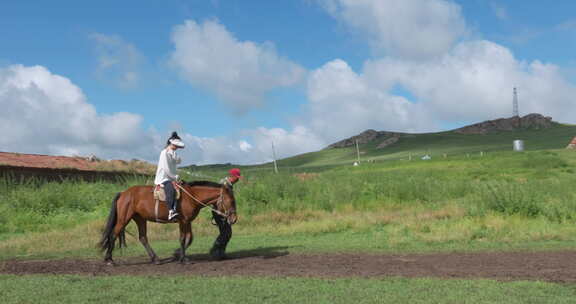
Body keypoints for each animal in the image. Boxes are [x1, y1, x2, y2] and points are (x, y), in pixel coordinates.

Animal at [99, 182, 236, 264]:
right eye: (231, 201)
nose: (234, 218)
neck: (191, 196)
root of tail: (123, 193)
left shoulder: (188, 222)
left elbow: (189, 238)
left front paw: (178, 254)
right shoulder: (183, 221)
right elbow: (182, 238)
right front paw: (182, 258)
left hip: (140, 219)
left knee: (143, 238)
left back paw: (155, 259)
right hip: (123, 219)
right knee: (113, 235)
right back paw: (109, 259)